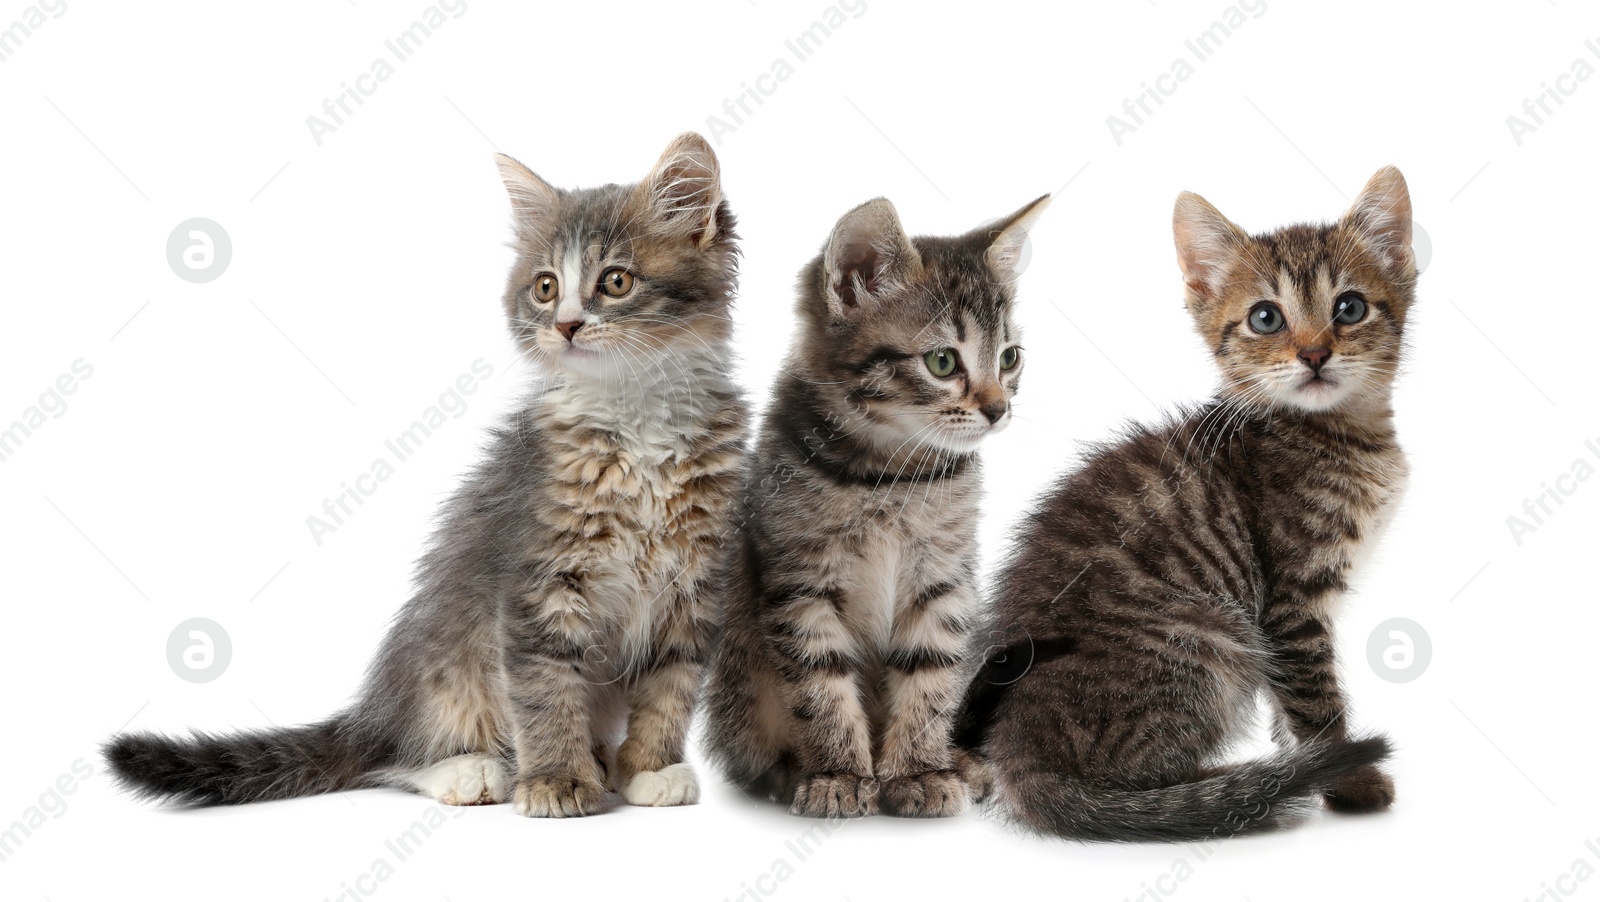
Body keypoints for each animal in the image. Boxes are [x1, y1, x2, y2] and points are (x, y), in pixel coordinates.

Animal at [106, 131, 748, 818]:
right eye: (546, 287)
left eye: (616, 281)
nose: (566, 325)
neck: (636, 420)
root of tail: (372, 711)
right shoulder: (535, 580)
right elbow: (545, 687)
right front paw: (556, 780)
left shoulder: (695, 582)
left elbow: (671, 685)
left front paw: (649, 769)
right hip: (449, 666)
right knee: (394, 756)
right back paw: (473, 770)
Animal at [707, 191, 1056, 818]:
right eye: (942, 362)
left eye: (1010, 357)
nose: (999, 410)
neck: (890, 477)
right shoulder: (800, 582)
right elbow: (821, 685)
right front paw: (840, 774)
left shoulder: (944, 579)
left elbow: (931, 676)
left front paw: (919, 770)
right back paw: (790, 772)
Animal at [947, 167, 1414, 838]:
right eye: (1266, 318)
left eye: (1349, 308)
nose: (1314, 354)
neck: (1341, 430)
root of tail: (1021, 751)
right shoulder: (1292, 602)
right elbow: (1316, 701)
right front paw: (1347, 777)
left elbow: (1288, 706)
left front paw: (1302, 762)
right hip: (1214, 637)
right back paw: (1244, 789)